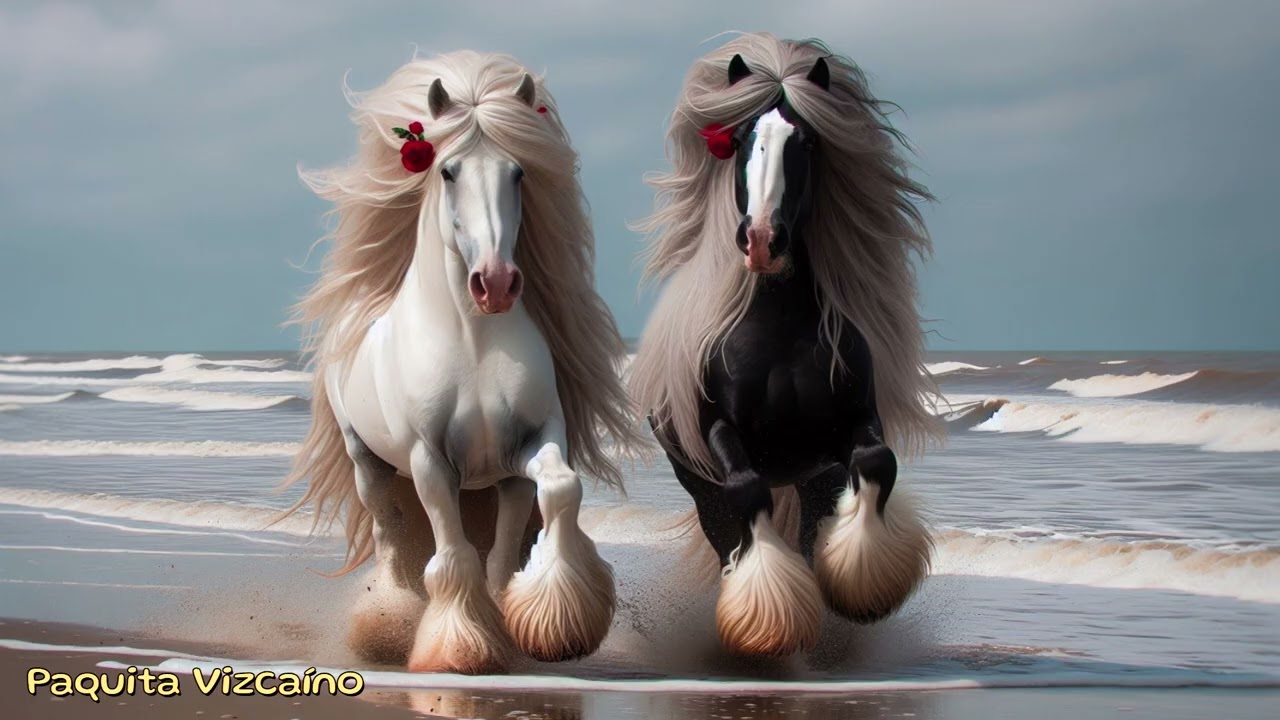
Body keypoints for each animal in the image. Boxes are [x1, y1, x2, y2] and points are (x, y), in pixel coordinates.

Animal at [277, 51, 645, 674]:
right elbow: (453, 556)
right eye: (448, 172)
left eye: (518, 173)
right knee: (390, 538)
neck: (472, 344)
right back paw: (387, 625)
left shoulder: (525, 452)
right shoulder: (431, 464)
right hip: (368, 461)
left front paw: (553, 625)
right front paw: (459, 649)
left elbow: (550, 502)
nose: (495, 283)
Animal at [629, 33, 944, 658]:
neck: (777, 331)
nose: (760, 240)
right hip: (698, 481)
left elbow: (877, 461)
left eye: (806, 142)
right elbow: (748, 493)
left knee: (806, 526)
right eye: (740, 139)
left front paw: (864, 589)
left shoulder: (849, 426)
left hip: (812, 476)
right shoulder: (720, 435)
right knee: (725, 530)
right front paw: (768, 617)